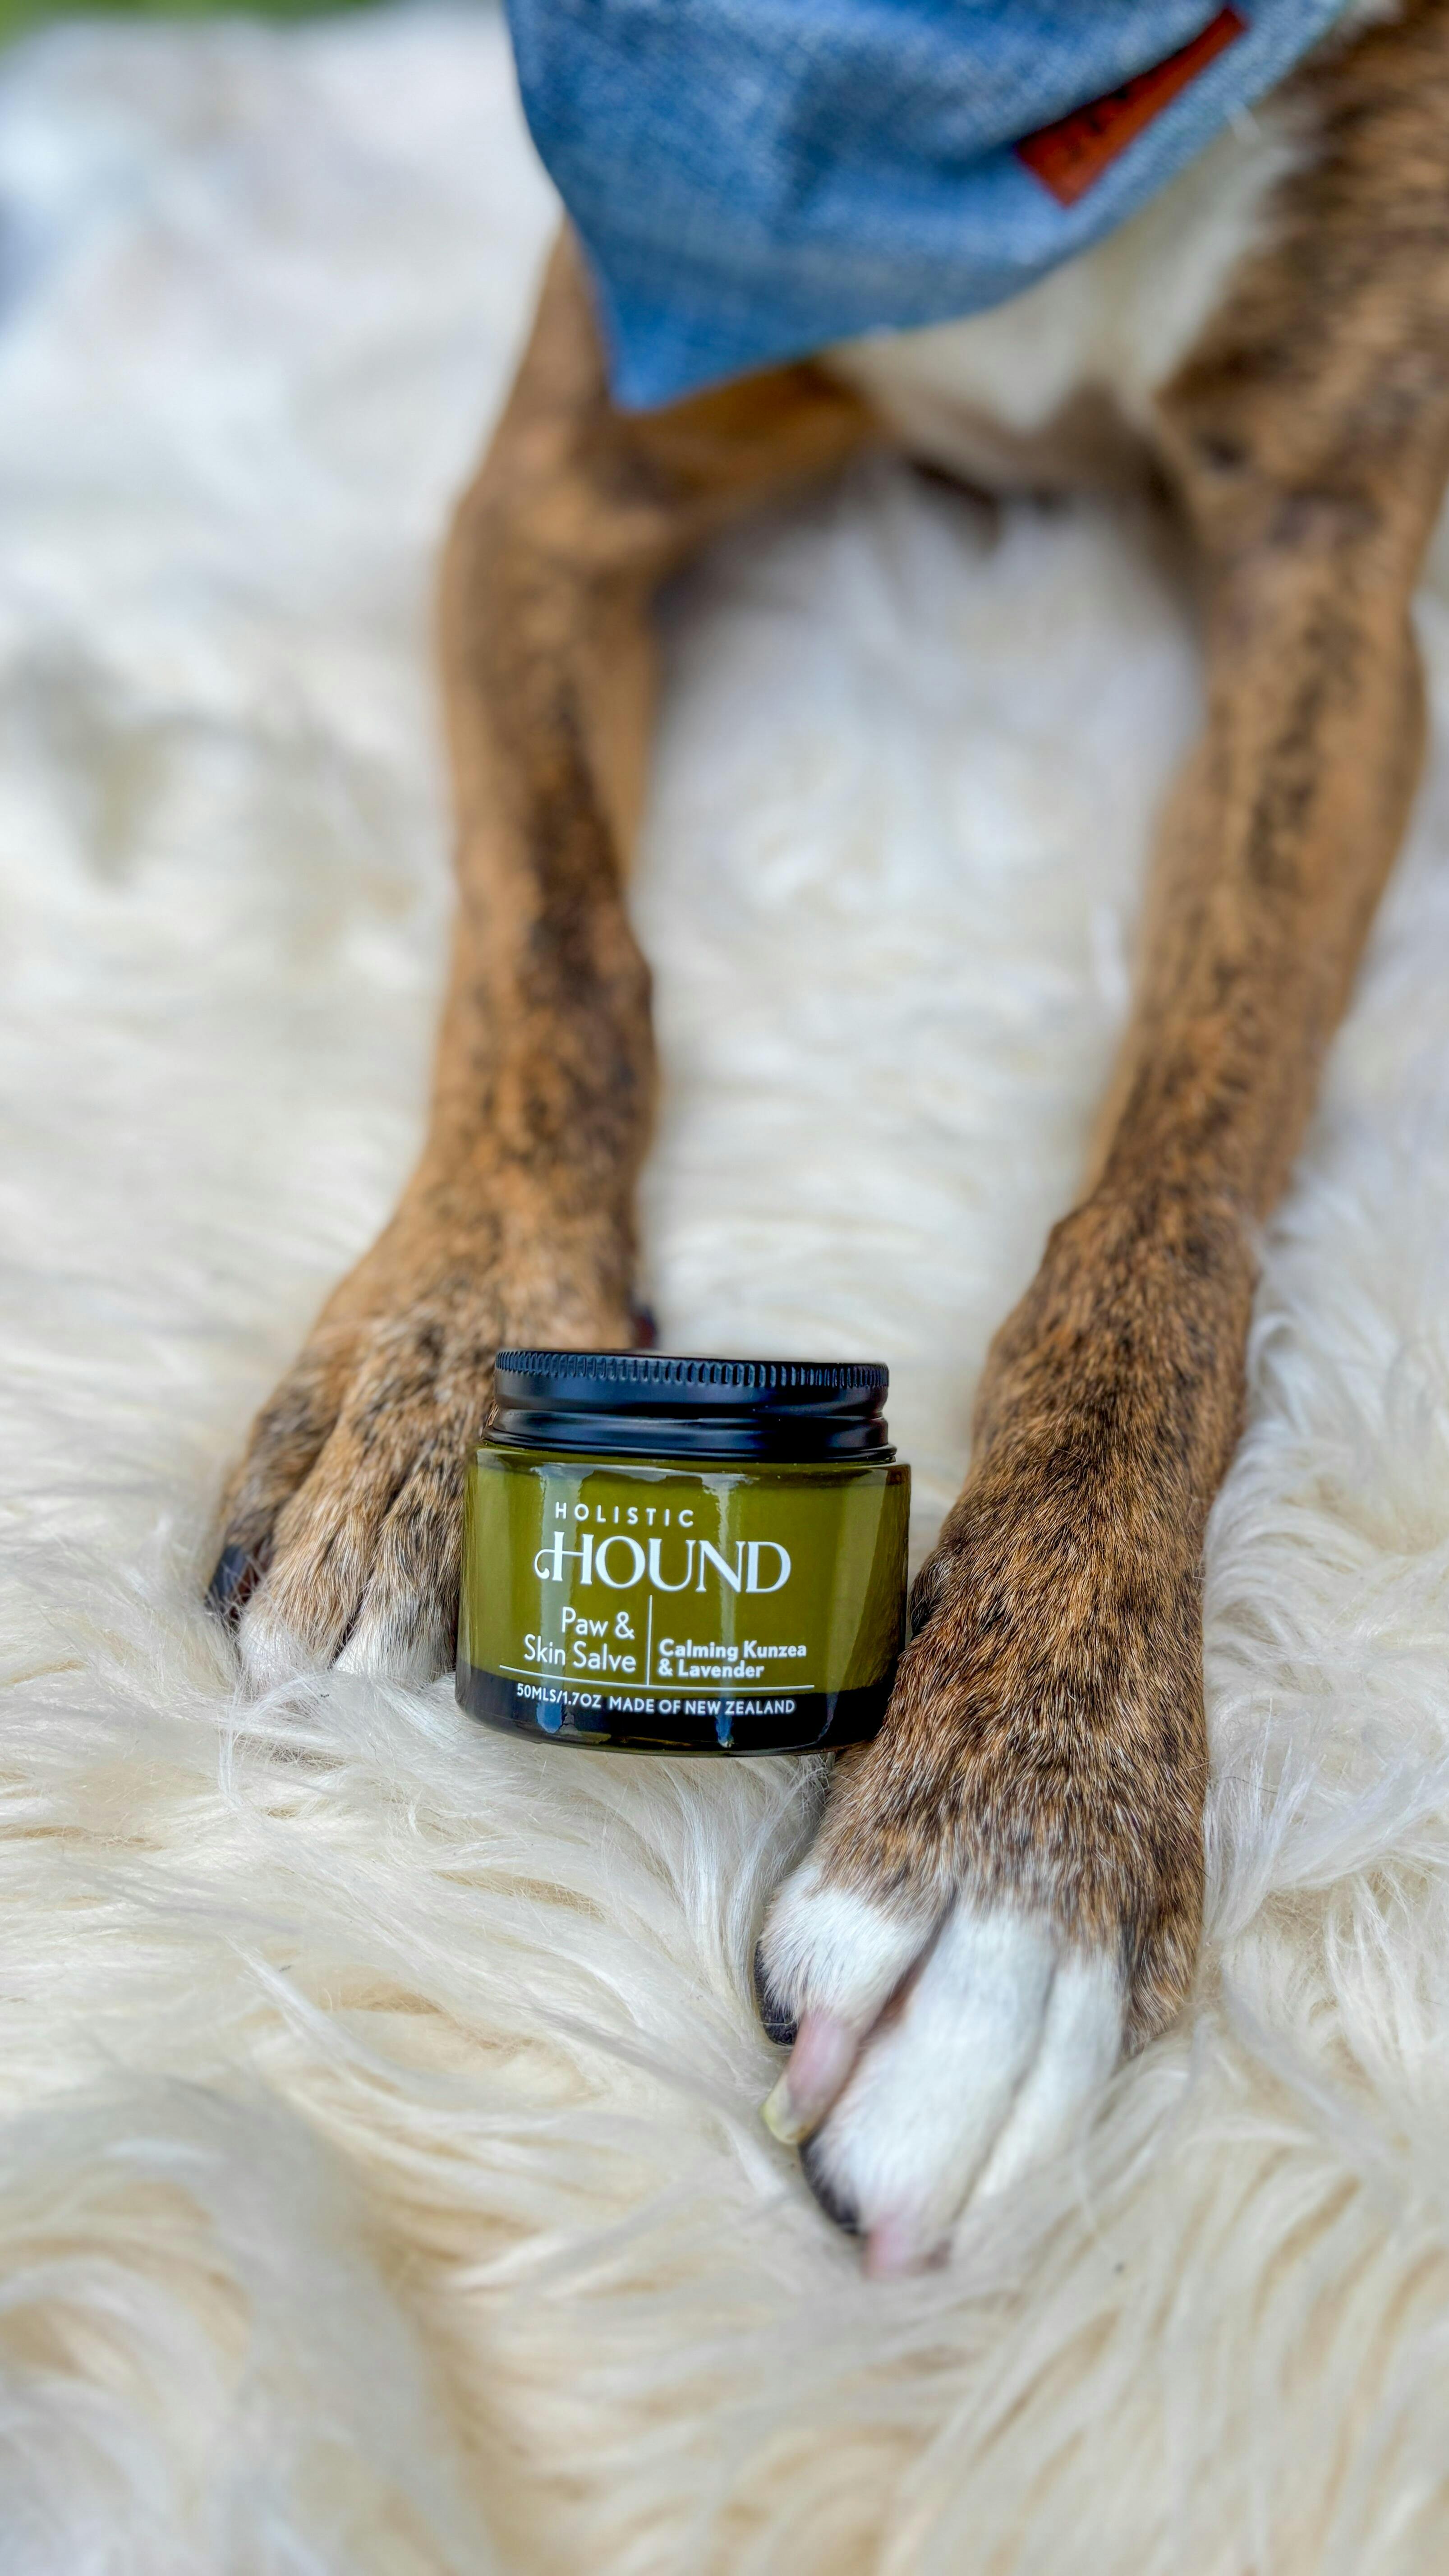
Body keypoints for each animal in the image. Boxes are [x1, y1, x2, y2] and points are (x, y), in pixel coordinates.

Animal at [207, 0, 1449, 2276]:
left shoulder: (1327, 580)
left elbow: (1170, 1192)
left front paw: (1018, 1822)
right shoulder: (562, 472)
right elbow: (559, 953)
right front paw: (433, 1371)